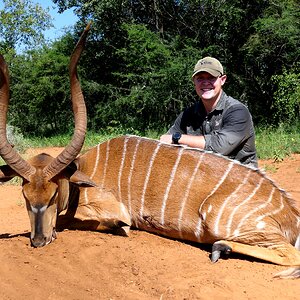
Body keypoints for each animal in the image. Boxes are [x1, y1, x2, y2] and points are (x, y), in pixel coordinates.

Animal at [0, 24, 298, 278]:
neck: (81, 172)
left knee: (290, 255)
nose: (38, 241)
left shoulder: (113, 210)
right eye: (25, 196)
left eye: (53, 196)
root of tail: (290, 214)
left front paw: (116, 228)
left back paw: (220, 247)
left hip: (219, 220)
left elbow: (76, 221)